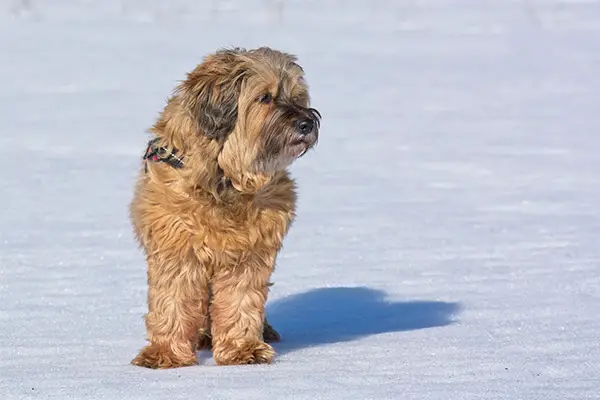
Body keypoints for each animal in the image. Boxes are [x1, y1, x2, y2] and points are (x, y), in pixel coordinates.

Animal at [129, 47, 322, 368]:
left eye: (298, 97)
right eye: (265, 97)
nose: (307, 123)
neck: (224, 178)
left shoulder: (250, 251)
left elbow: (240, 300)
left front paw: (243, 348)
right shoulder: (176, 245)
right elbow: (173, 298)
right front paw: (165, 353)